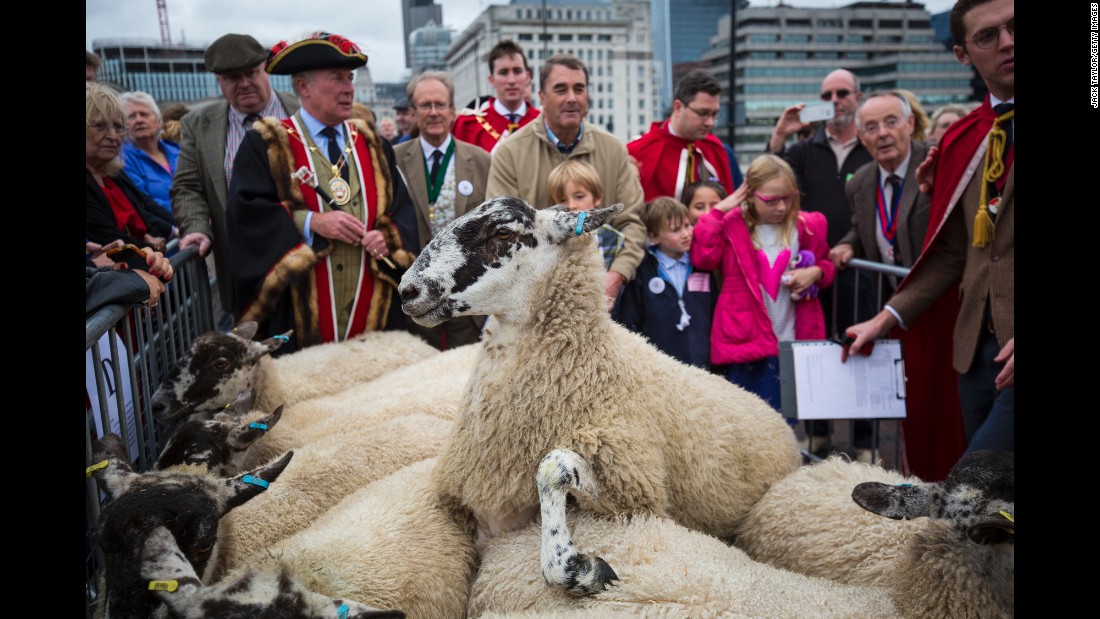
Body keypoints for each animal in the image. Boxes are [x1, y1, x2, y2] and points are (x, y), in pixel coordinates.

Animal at [396, 195, 800, 593]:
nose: (406, 290)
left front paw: (583, 568)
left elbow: (552, 467)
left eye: (503, 231)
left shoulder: (633, 491)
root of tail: (769, 407)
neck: (586, 365)